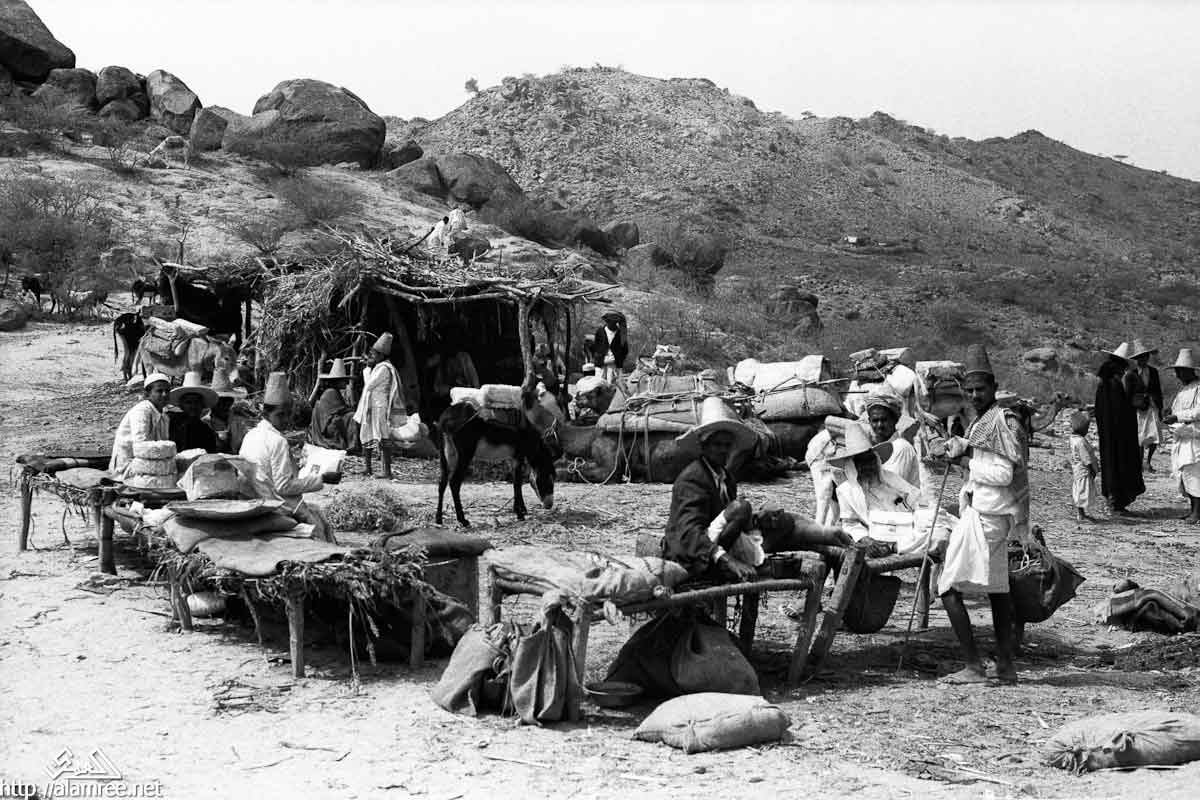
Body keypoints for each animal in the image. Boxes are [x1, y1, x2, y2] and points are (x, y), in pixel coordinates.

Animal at [435, 376, 563, 528]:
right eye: (548, 477)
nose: (549, 505)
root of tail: (445, 418)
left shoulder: (514, 456)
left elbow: (516, 481)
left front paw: (521, 510)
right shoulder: (519, 454)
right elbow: (517, 482)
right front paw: (520, 514)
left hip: (446, 453)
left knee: (442, 482)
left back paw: (438, 519)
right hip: (465, 454)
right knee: (454, 482)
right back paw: (463, 520)